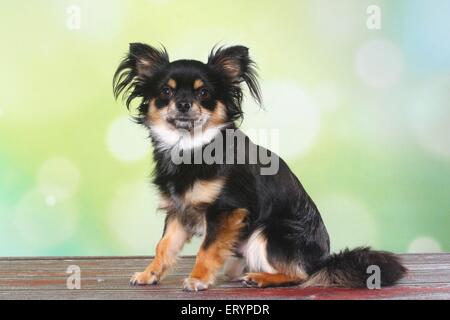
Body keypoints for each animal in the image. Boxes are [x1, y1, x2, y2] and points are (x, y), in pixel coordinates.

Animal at [113, 43, 408, 292]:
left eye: (204, 93)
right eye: (166, 91)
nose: (184, 104)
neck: (190, 147)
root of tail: (322, 261)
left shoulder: (226, 210)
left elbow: (206, 250)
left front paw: (197, 279)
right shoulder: (178, 211)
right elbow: (164, 246)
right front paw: (149, 274)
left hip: (267, 233)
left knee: (300, 275)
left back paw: (261, 278)